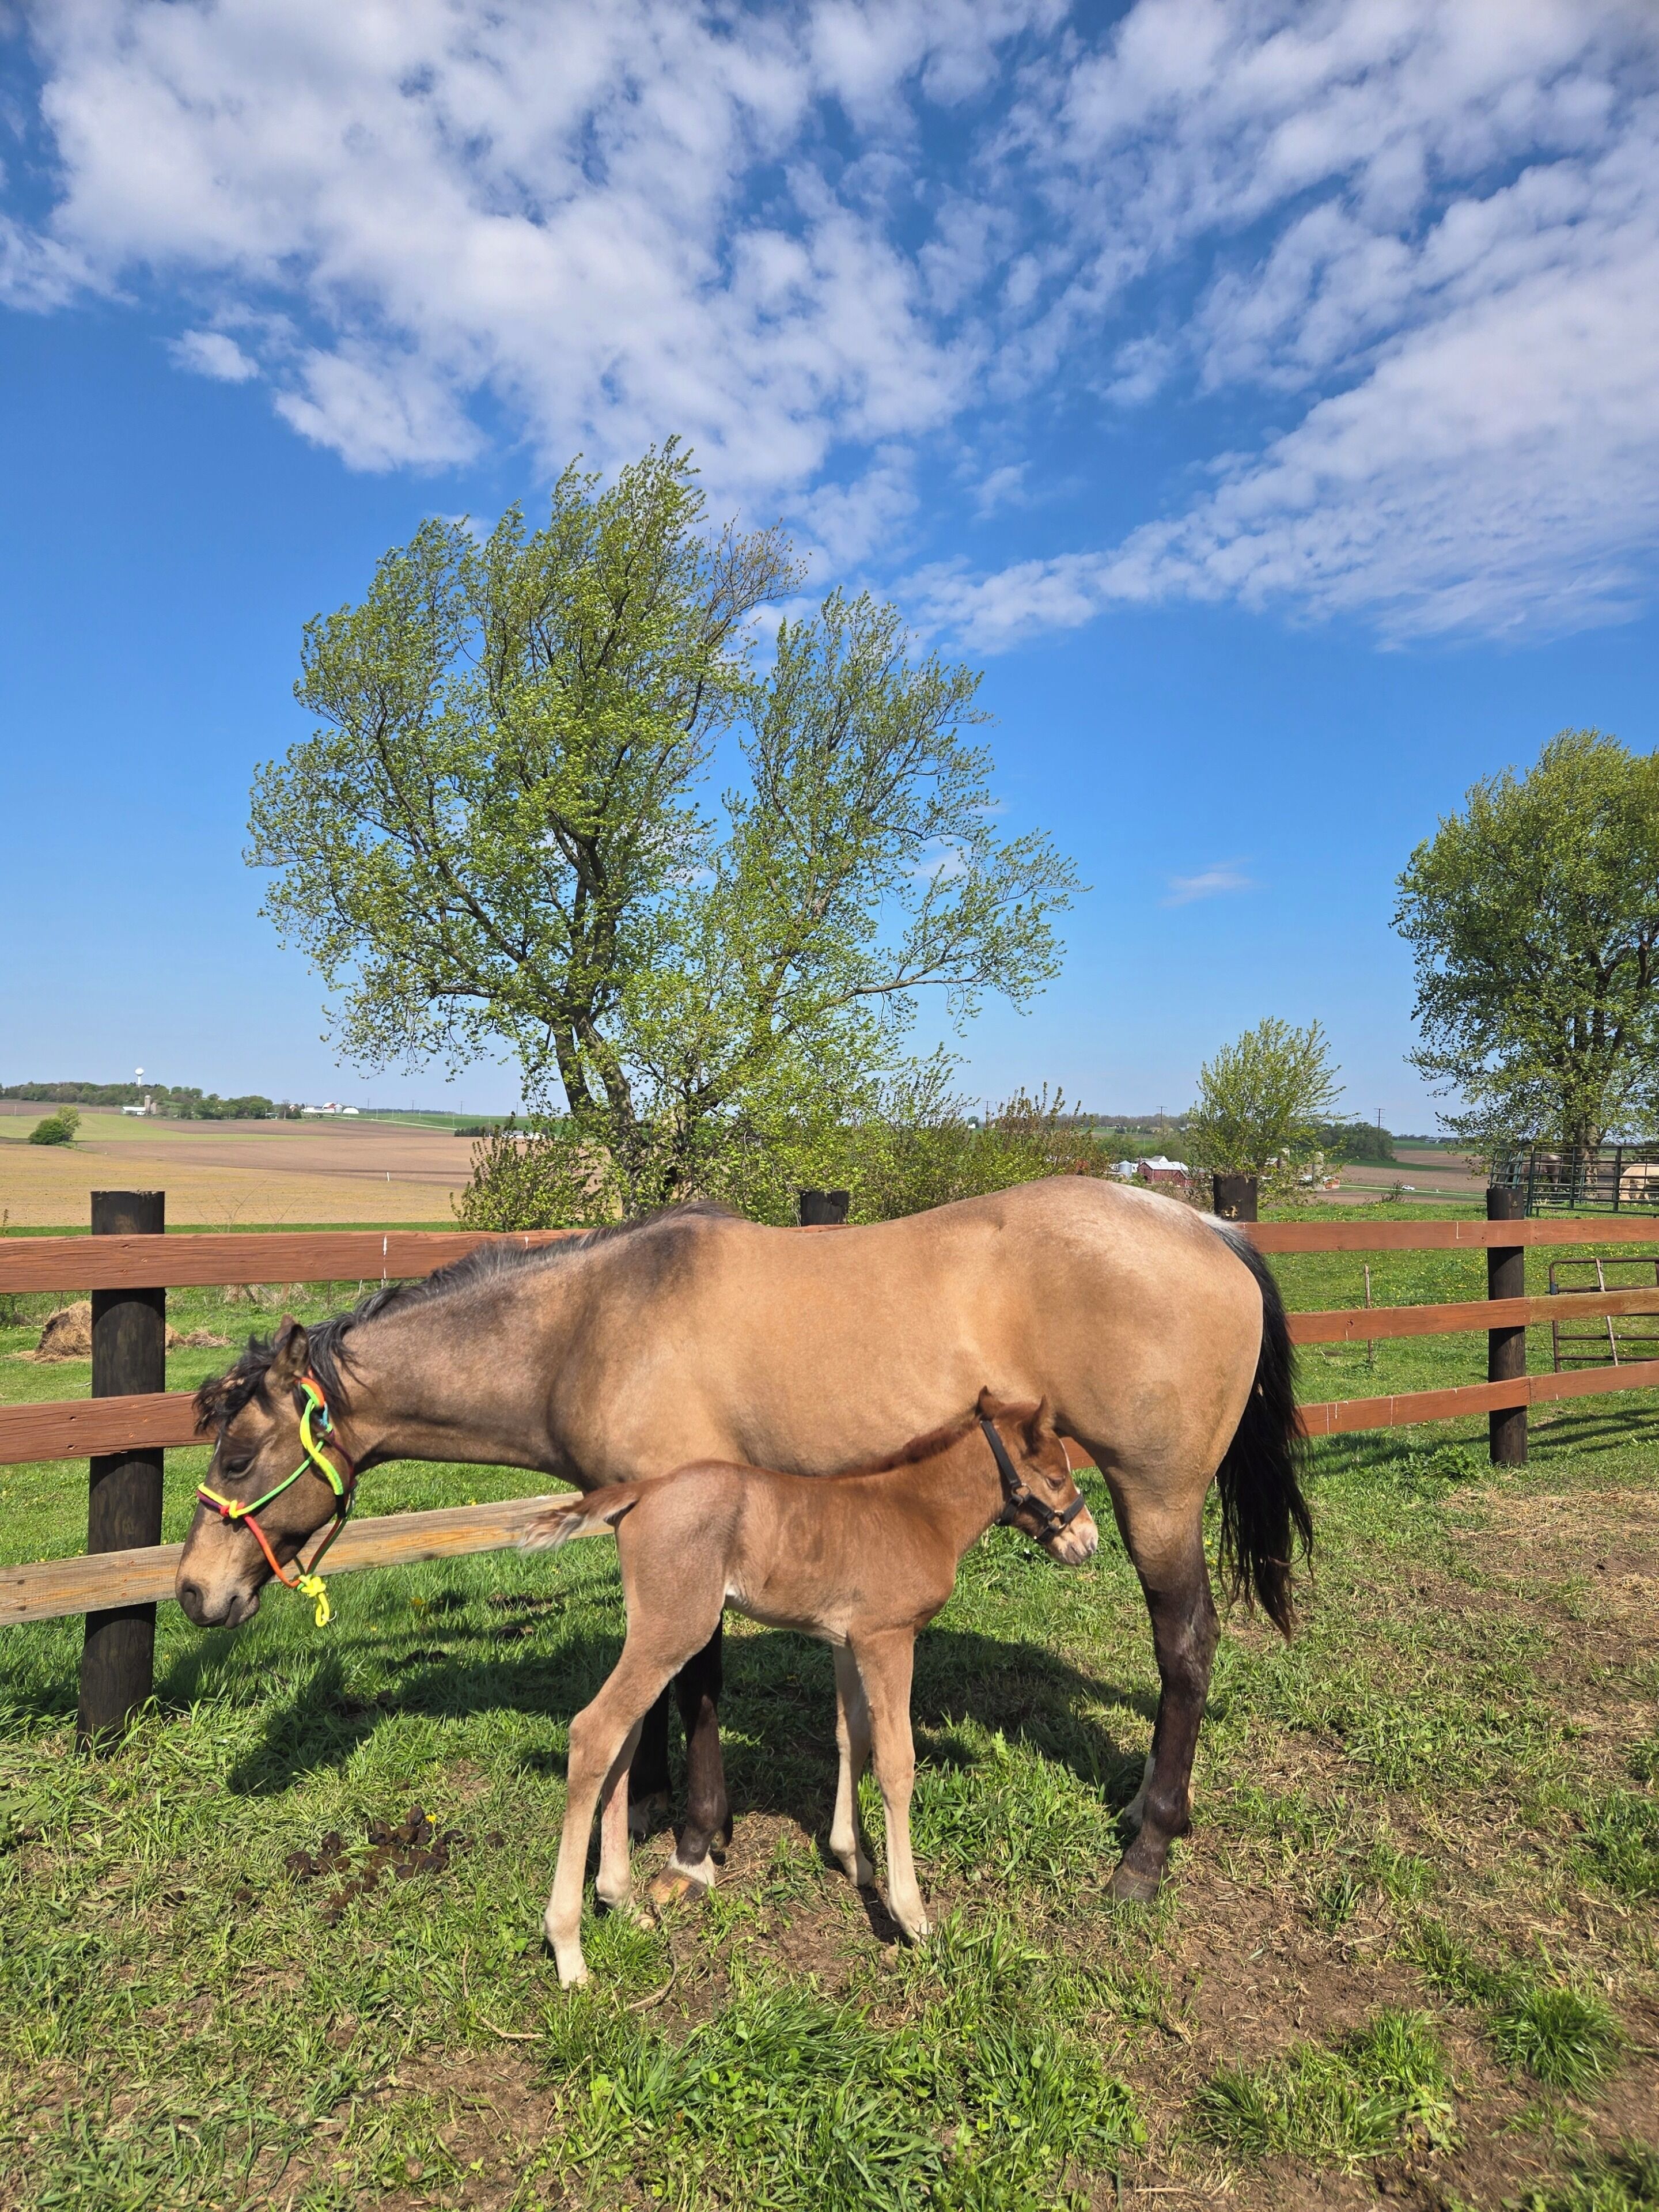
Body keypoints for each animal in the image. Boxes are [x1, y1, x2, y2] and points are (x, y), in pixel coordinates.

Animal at [178, 1176, 1308, 1906]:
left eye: (236, 1453)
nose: (193, 1592)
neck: (592, 1325)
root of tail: (1209, 1227)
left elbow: (699, 1683)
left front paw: (696, 1836)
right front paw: (649, 1812)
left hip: (1155, 1502)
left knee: (1187, 1649)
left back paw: (1146, 1852)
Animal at [523, 1390, 1099, 1984]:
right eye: (1056, 1477)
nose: (1089, 1540)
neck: (918, 1512)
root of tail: (643, 1490)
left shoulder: (848, 1641)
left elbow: (853, 1736)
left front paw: (853, 1858)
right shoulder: (889, 1639)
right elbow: (897, 1763)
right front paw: (912, 1917)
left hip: (658, 1632)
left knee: (623, 1738)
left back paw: (620, 1898)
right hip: (677, 1628)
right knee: (595, 1731)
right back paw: (568, 1948)